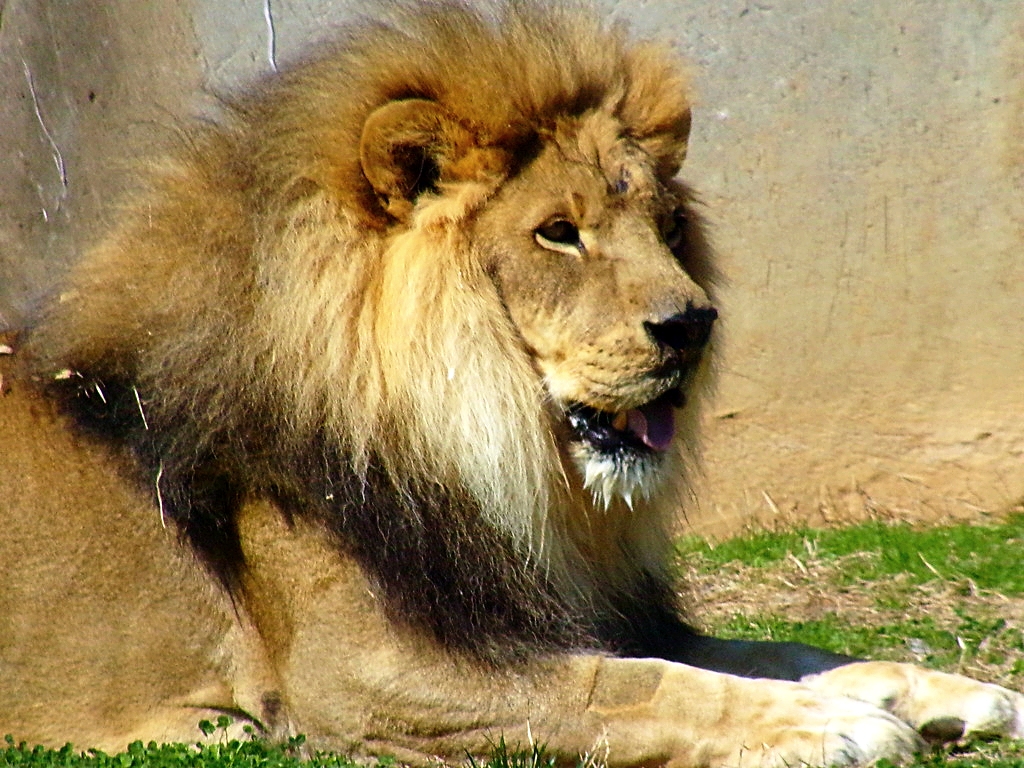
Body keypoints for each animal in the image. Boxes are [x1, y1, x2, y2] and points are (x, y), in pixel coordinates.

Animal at [1, 3, 1021, 766]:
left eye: (667, 226)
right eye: (558, 233)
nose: (694, 327)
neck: (499, 463)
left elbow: (772, 648)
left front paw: (941, 686)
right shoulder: (370, 679)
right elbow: (632, 687)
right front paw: (832, 724)